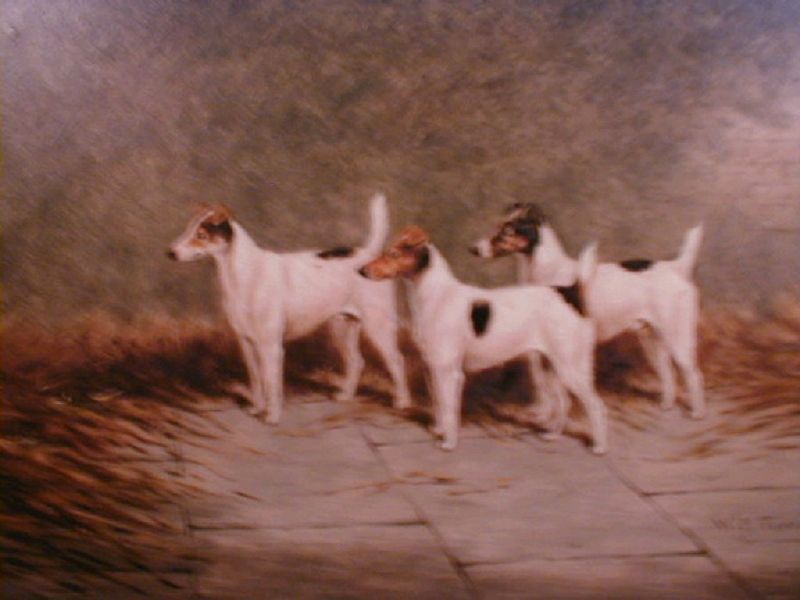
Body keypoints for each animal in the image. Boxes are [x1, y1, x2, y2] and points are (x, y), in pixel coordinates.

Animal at [167, 193, 412, 423]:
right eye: (188, 229)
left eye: (201, 235)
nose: (171, 253)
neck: (245, 274)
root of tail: (369, 257)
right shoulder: (246, 343)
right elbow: (256, 380)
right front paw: (256, 409)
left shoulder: (271, 346)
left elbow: (271, 383)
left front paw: (272, 416)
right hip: (342, 327)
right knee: (356, 361)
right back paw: (345, 396)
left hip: (378, 326)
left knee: (397, 361)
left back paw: (402, 403)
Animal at [359, 225, 608, 454]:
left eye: (393, 254)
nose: (361, 270)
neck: (436, 297)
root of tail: (570, 294)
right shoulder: (433, 369)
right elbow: (439, 404)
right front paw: (438, 430)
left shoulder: (449, 372)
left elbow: (449, 409)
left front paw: (448, 442)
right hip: (552, 367)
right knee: (564, 403)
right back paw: (553, 435)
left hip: (571, 368)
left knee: (596, 405)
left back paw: (599, 446)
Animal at [470, 203, 705, 419]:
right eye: (498, 226)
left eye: (508, 230)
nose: (474, 249)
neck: (548, 270)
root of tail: (676, 268)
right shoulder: (536, 352)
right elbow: (540, 383)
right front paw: (543, 412)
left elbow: (550, 386)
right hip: (653, 341)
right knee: (668, 373)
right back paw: (667, 405)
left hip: (678, 337)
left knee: (693, 374)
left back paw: (697, 412)